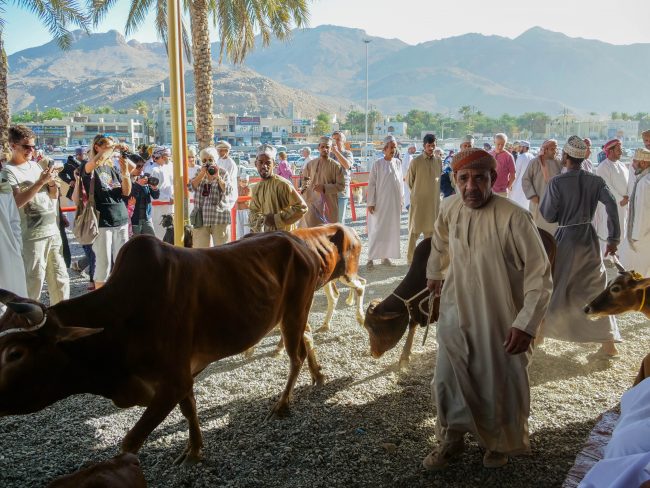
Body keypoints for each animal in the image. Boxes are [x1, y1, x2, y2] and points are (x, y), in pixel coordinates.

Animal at [0, 233, 322, 466]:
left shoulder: (172, 381)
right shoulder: (182, 376)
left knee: (295, 356)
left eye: (15, 353)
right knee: (307, 341)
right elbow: (189, 410)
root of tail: (297, 240)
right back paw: (317, 375)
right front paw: (194, 451)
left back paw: (282, 404)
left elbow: (130, 441)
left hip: (294, 312)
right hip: (293, 314)